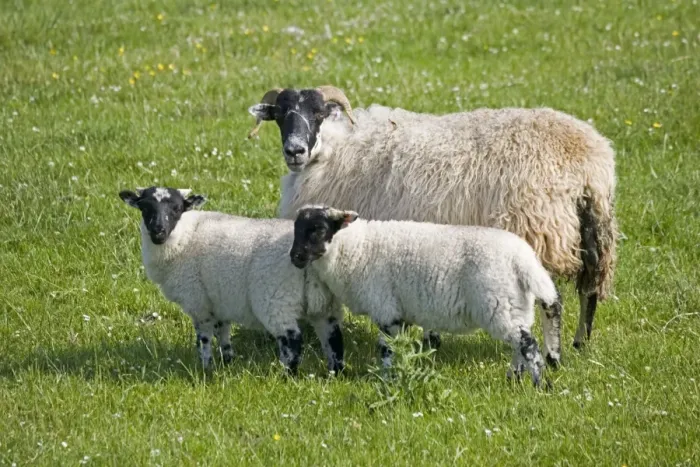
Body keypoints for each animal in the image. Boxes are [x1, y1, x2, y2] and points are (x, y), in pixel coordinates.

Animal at [118, 186, 344, 375]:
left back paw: (287, 376)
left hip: (277, 300)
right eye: (144, 207)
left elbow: (204, 338)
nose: (158, 231)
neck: (186, 236)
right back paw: (335, 373)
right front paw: (227, 361)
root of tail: (313, 257)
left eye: (177, 208)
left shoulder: (198, 302)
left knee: (292, 340)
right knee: (333, 339)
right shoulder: (219, 300)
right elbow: (224, 333)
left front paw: (205, 368)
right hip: (324, 304)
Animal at [248, 86, 618, 361]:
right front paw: (428, 341)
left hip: (538, 230)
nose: (294, 151)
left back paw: (553, 353)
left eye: (318, 113)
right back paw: (581, 344)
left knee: (553, 298)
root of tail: (588, 161)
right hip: (596, 231)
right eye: (280, 116)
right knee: (589, 291)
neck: (335, 149)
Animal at [289, 205, 560, 386]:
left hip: (498, 304)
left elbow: (386, 349)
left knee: (528, 345)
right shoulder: (401, 312)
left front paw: (387, 379)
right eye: (296, 229)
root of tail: (523, 258)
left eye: (319, 229)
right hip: (516, 306)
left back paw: (538, 385)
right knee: (519, 344)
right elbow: (398, 348)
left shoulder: (386, 308)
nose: (295, 258)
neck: (355, 249)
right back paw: (514, 378)